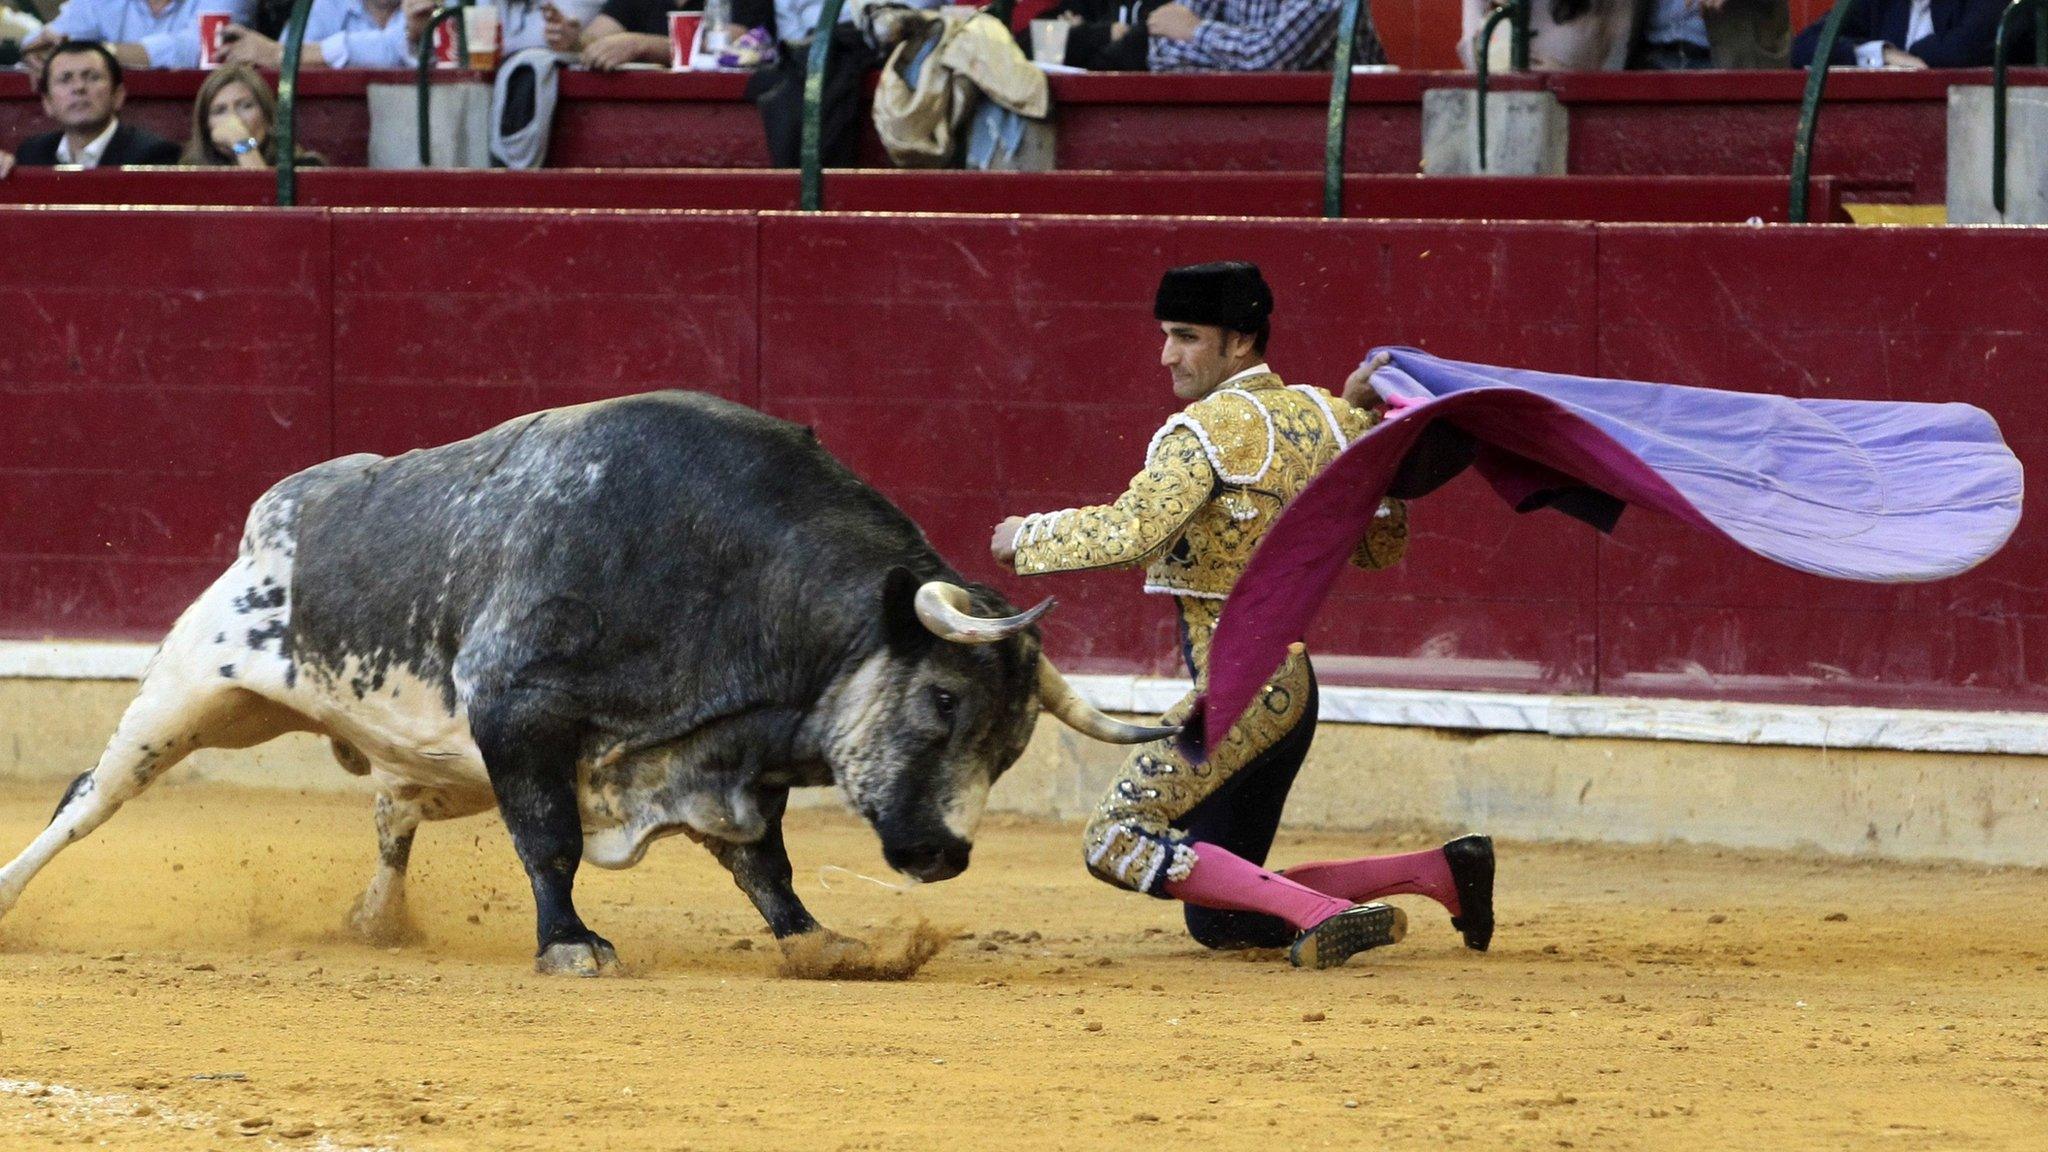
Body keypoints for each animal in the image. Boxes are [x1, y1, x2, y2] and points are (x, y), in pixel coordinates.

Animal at [0, 391, 1171, 967]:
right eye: (940, 700)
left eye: (1012, 746)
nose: (941, 855)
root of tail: (277, 514)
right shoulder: (521, 718)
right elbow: (552, 842)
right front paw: (569, 944)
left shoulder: (720, 760)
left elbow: (765, 863)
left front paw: (819, 941)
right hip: (190, 694)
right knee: (87, 800)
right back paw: (12, 894)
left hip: (431, 758)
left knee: (390, 812)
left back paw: (378, 921)